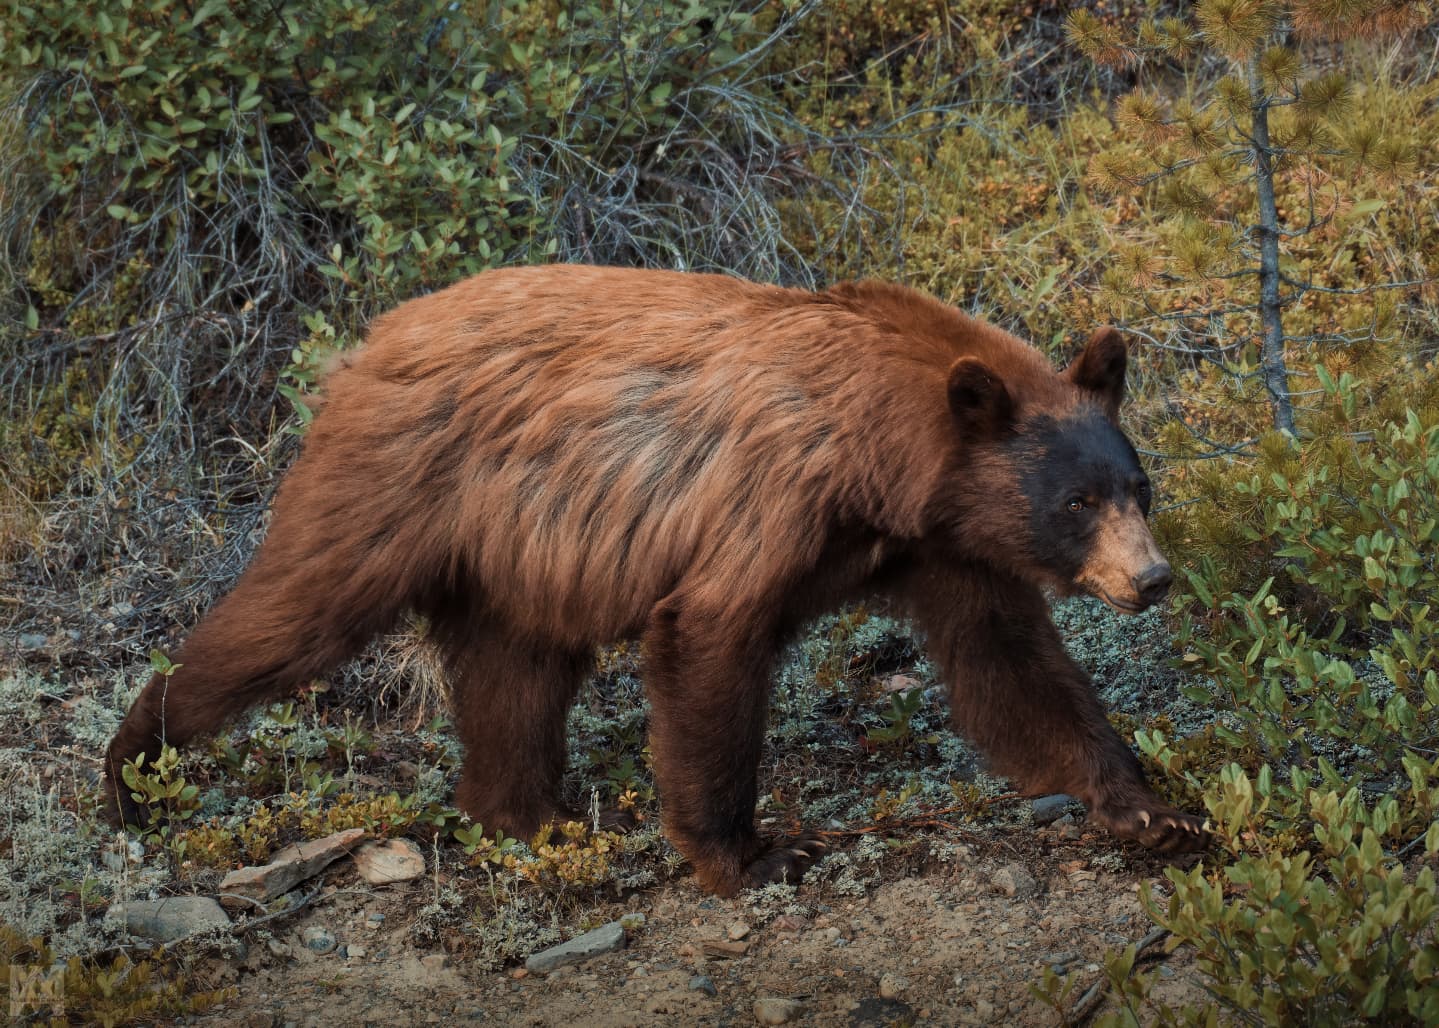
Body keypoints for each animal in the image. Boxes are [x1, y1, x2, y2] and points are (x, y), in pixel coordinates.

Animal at [106, 264, 1207, 896]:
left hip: (518, 550)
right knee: (293, 615)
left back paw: (521, 814)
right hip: (397, 480)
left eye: (1136, 485)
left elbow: (1007, 666)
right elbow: (710, 636)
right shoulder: (772, 500)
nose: (1150, 578)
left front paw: (1150, 809)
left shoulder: (948, 546)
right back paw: (133, 771)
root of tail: (371, 338)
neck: (882, 457)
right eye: (1075, 501)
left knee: (516, 673)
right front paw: (751, 854)